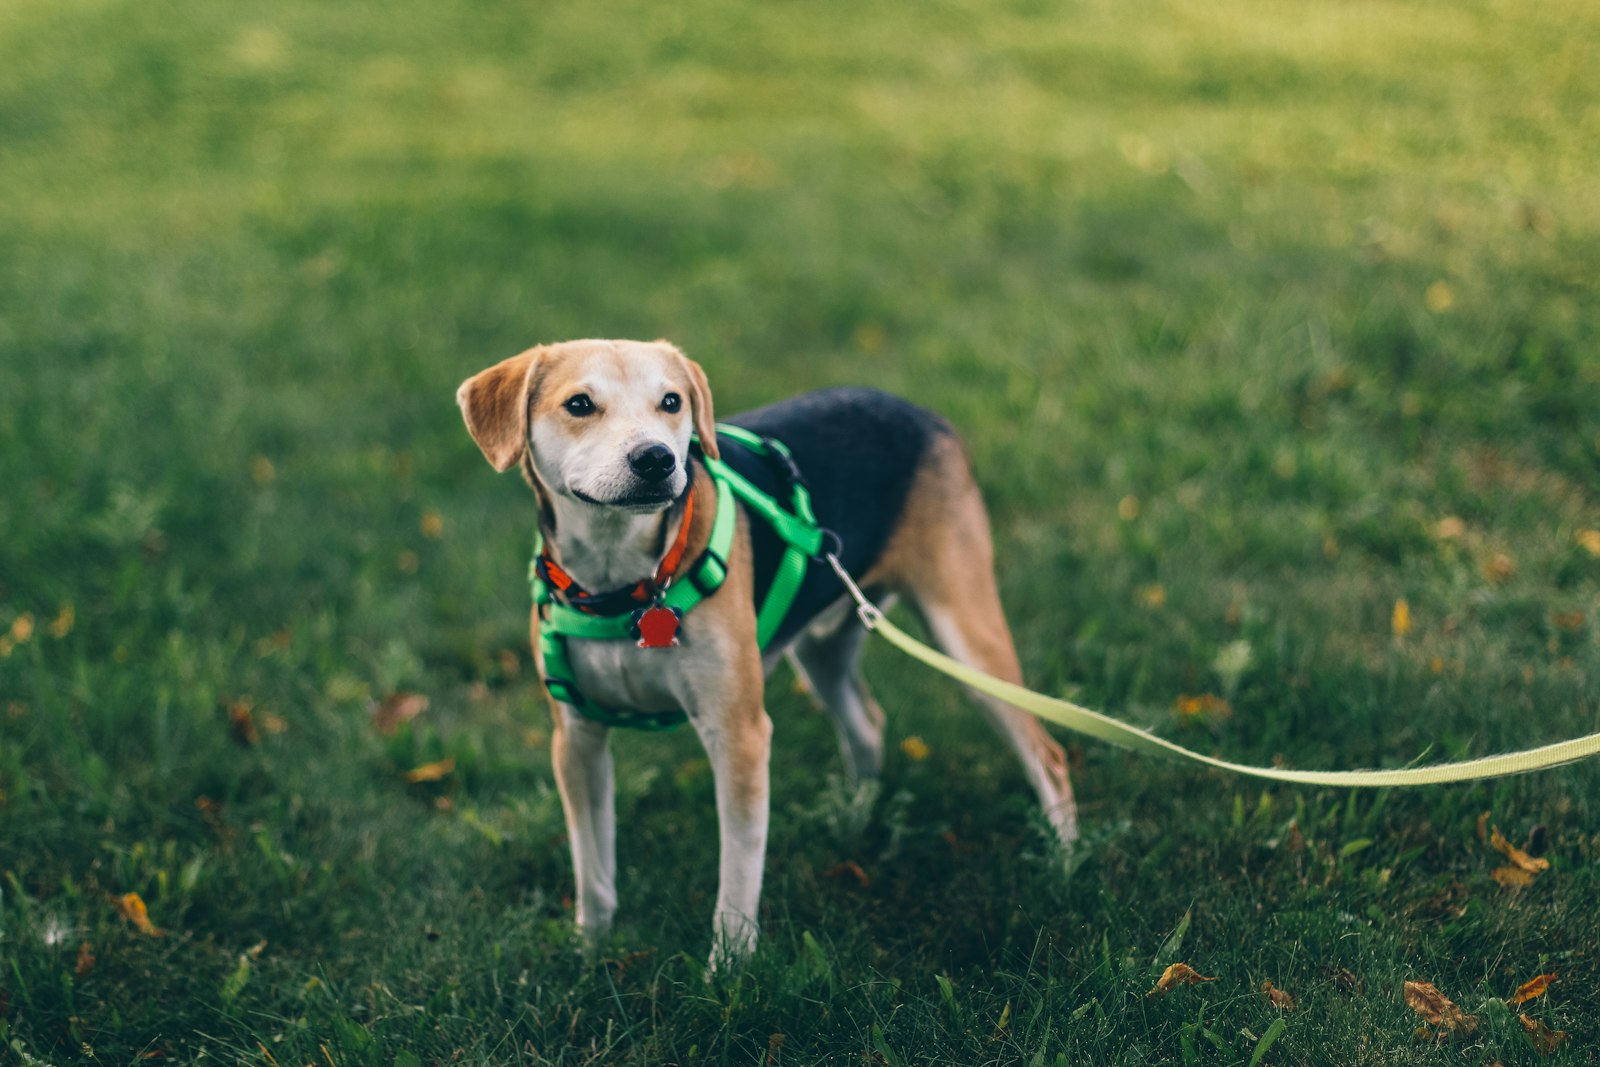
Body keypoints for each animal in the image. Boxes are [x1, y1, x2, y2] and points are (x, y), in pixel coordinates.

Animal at [454, 340, 1075, 966]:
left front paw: (728, 968)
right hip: (824, 650)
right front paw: (590, 951)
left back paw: (1063, 862)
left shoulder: (739, 735)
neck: (626, 584)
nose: (657, 459)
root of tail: (918, 411)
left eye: (671, 402)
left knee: (1047, 754)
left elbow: (738, 870)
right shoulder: (576, 739)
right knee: (868, 723)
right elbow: (593, 867)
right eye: (579, 404)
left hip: (965, 634)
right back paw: (856, 817)